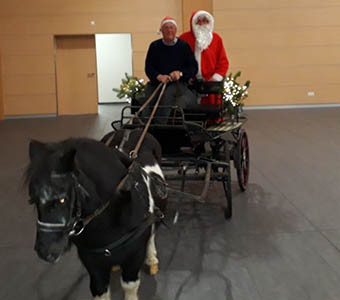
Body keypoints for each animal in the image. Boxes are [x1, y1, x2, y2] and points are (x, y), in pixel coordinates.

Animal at [24, 129, 166, 300]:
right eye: (33, 200)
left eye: (62, 199)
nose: (44, 251)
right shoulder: (93, 263)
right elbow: (99, 289)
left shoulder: (134, 257)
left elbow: (130, 285)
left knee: (152, 234)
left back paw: (152, 259)